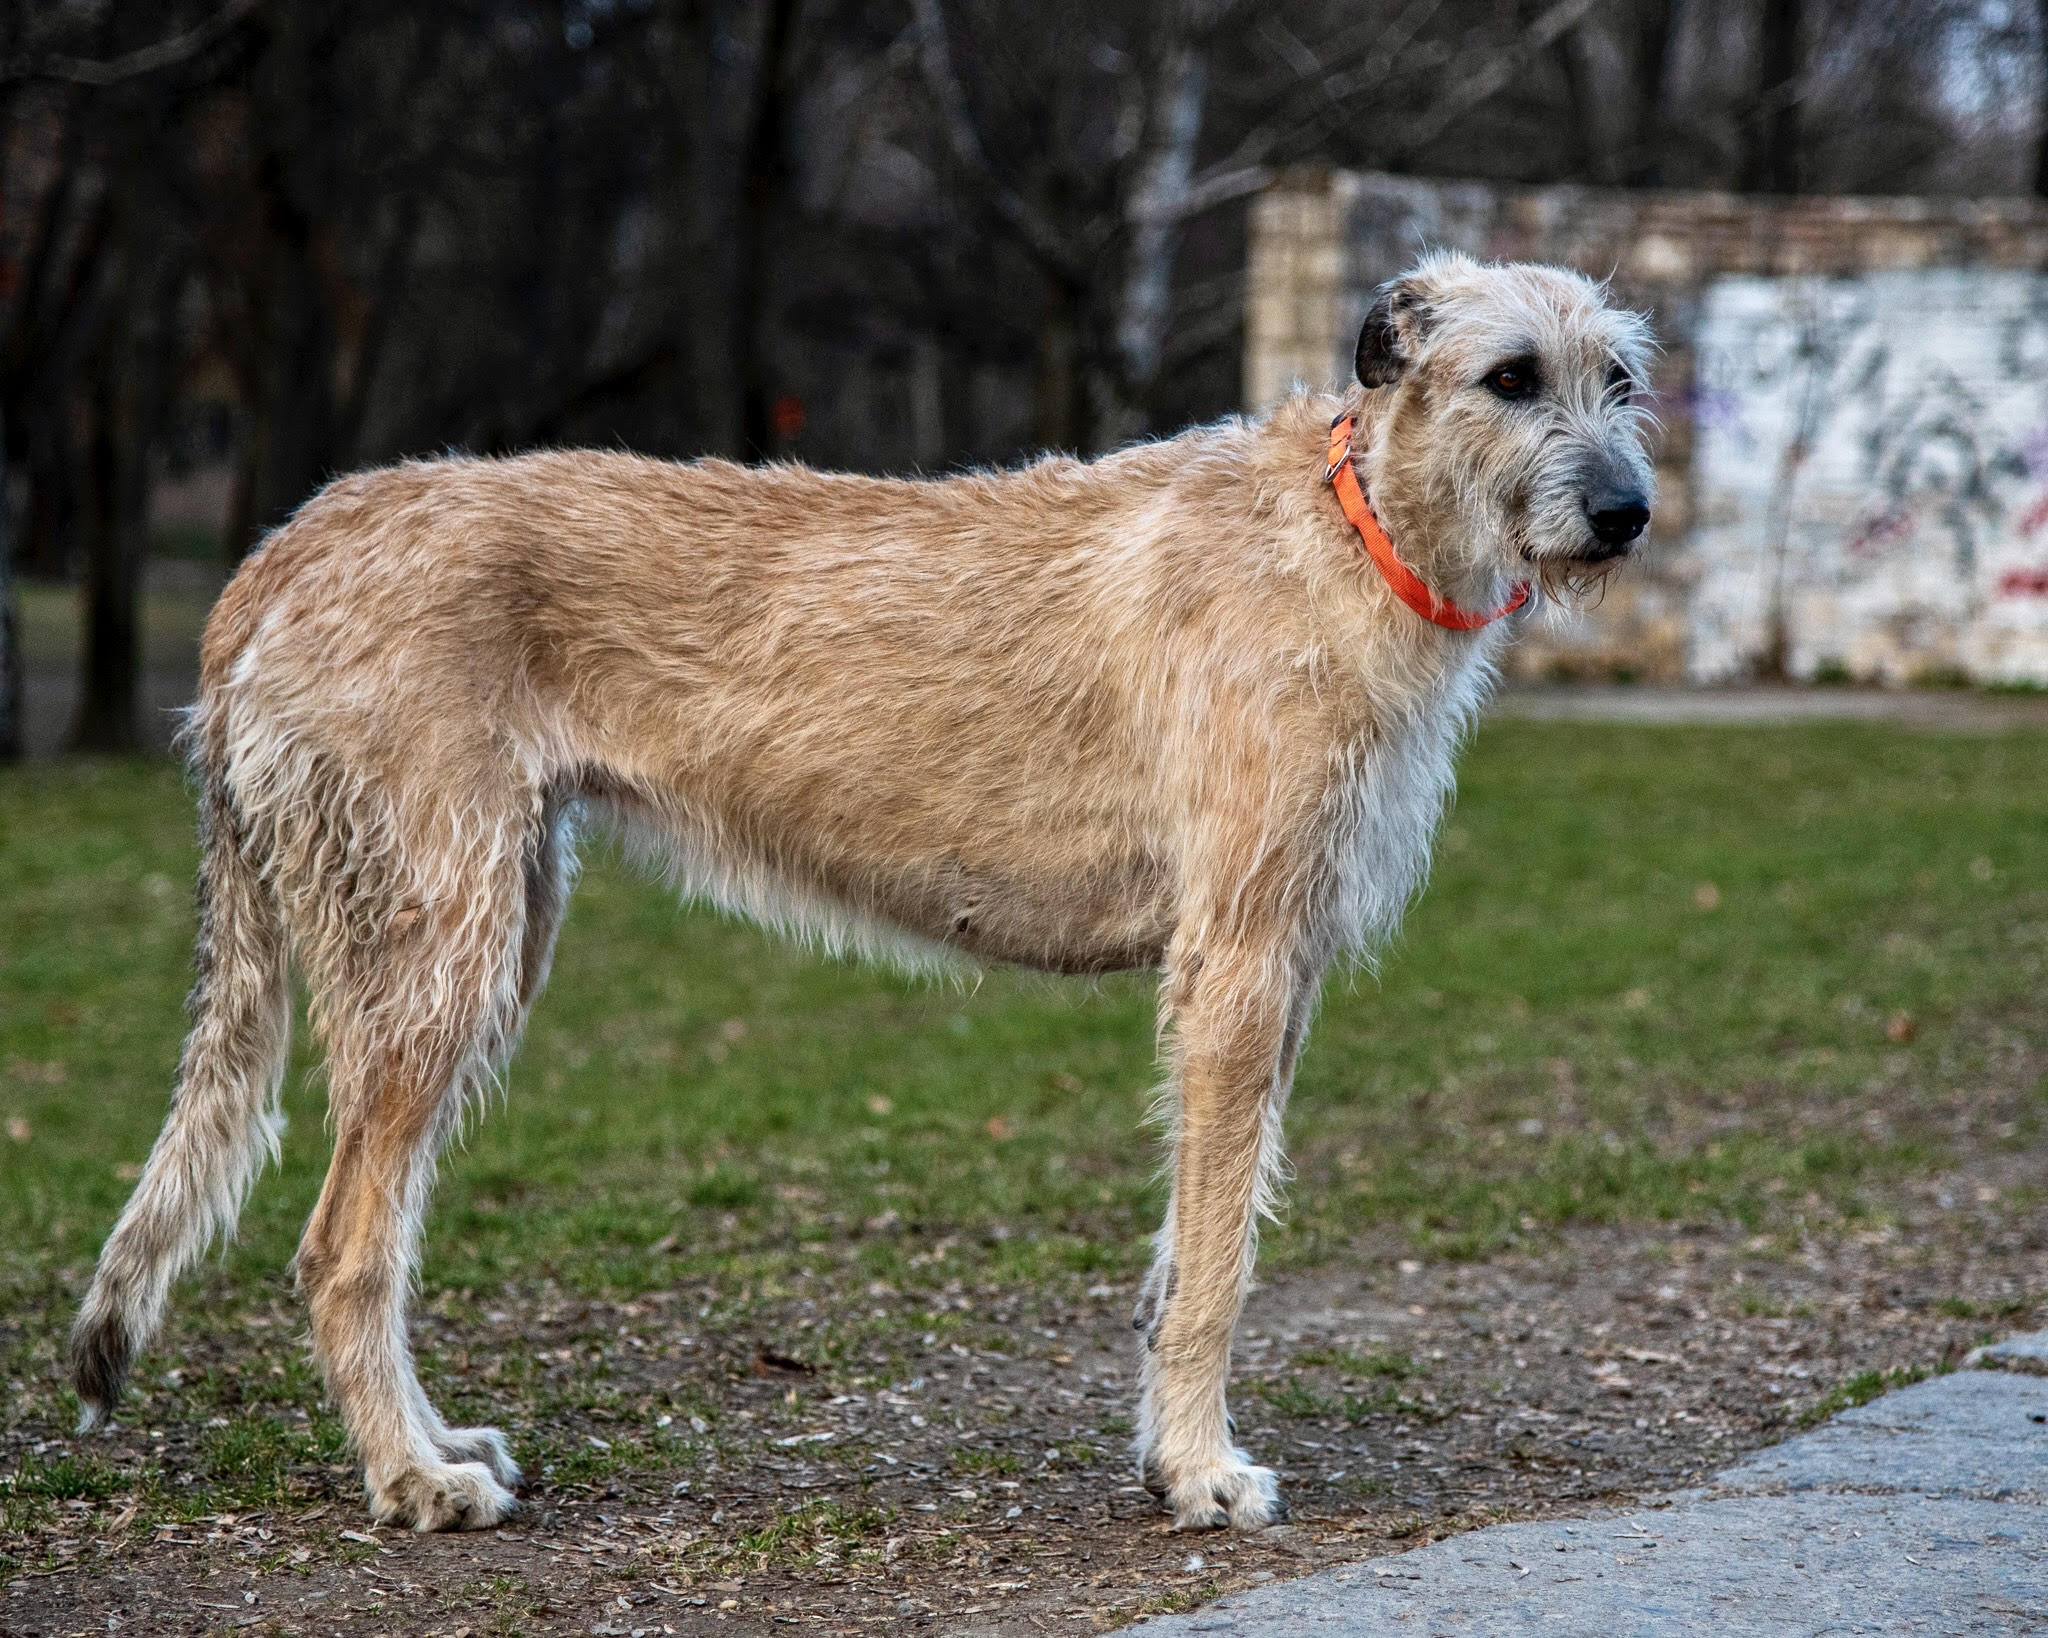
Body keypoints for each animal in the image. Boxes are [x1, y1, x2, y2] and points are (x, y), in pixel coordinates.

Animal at [72, 246, 1654, 1539]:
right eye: (1510, 377)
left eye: (1621, 377)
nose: (1628, 513)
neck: (1351, 528)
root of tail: (283, 547)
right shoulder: (1241, 962)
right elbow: (1218, 1257)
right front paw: (1206, 1471)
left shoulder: (1281, 967)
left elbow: (1184, 1248)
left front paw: (1164, 1449)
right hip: (437, 950)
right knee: (342, 1245)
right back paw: (410, 1476)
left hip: (494, 929)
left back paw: (436, 1440)